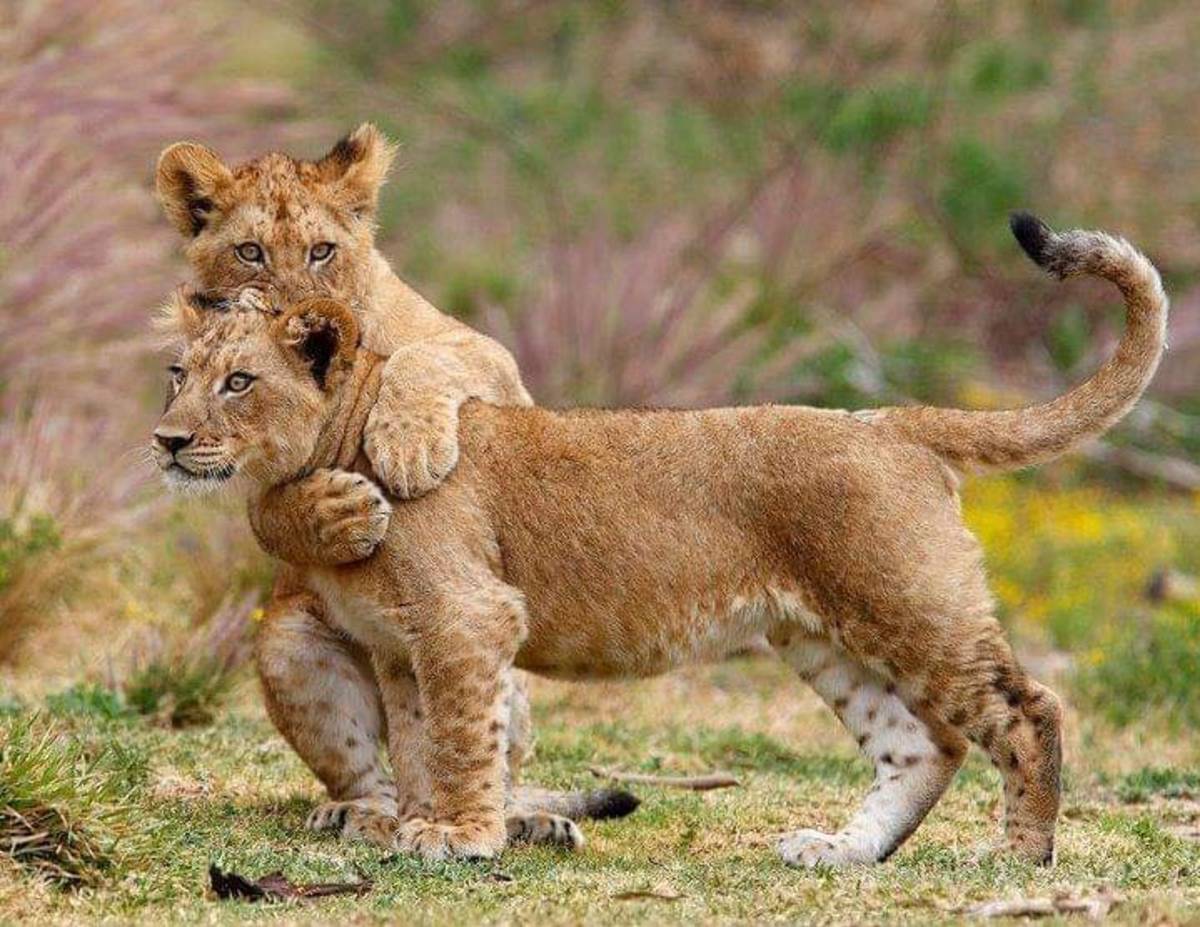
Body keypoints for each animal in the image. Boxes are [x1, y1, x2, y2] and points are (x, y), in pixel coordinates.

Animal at [151, 214, 1167, 866]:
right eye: (177, 374)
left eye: (238, 382)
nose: (165, 439)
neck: (332, 445)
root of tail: (892, 419)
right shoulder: (403, 649)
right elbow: (418, 743)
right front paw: (422, 822)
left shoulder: (467, 616)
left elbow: (463, 737)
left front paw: (460, 838)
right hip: (823, 633)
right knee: (925, 745)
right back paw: (842, 849)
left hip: (909, 602)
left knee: (1028, 709)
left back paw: (1020, 857)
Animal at [154, 125, 636, 843]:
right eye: (250, 252)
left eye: (322, 251)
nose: (297, 314)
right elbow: (267, 505)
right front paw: (337, 512)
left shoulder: (494, 367)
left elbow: (421, 357)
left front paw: (408, 447)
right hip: (293, 646)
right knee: (369, 772)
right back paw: (360, 815)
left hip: (514, 689)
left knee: (492, 766)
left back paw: (532, 822)